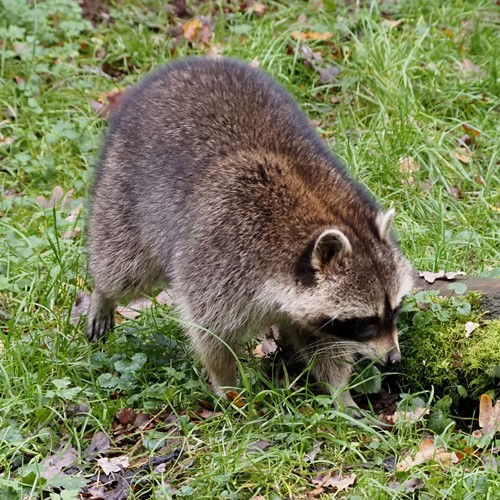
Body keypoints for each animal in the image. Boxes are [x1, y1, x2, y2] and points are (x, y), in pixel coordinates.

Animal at [87, 56, 414, 408]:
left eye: (395, 309)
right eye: (365, 322)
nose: (394, 359)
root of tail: (187, 63)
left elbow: (321, 342)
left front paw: (340, 391)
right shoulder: (220, 257)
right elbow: (211, 333)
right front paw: (227, 384)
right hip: (125, 192)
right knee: (123, 265)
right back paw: (102, 293)